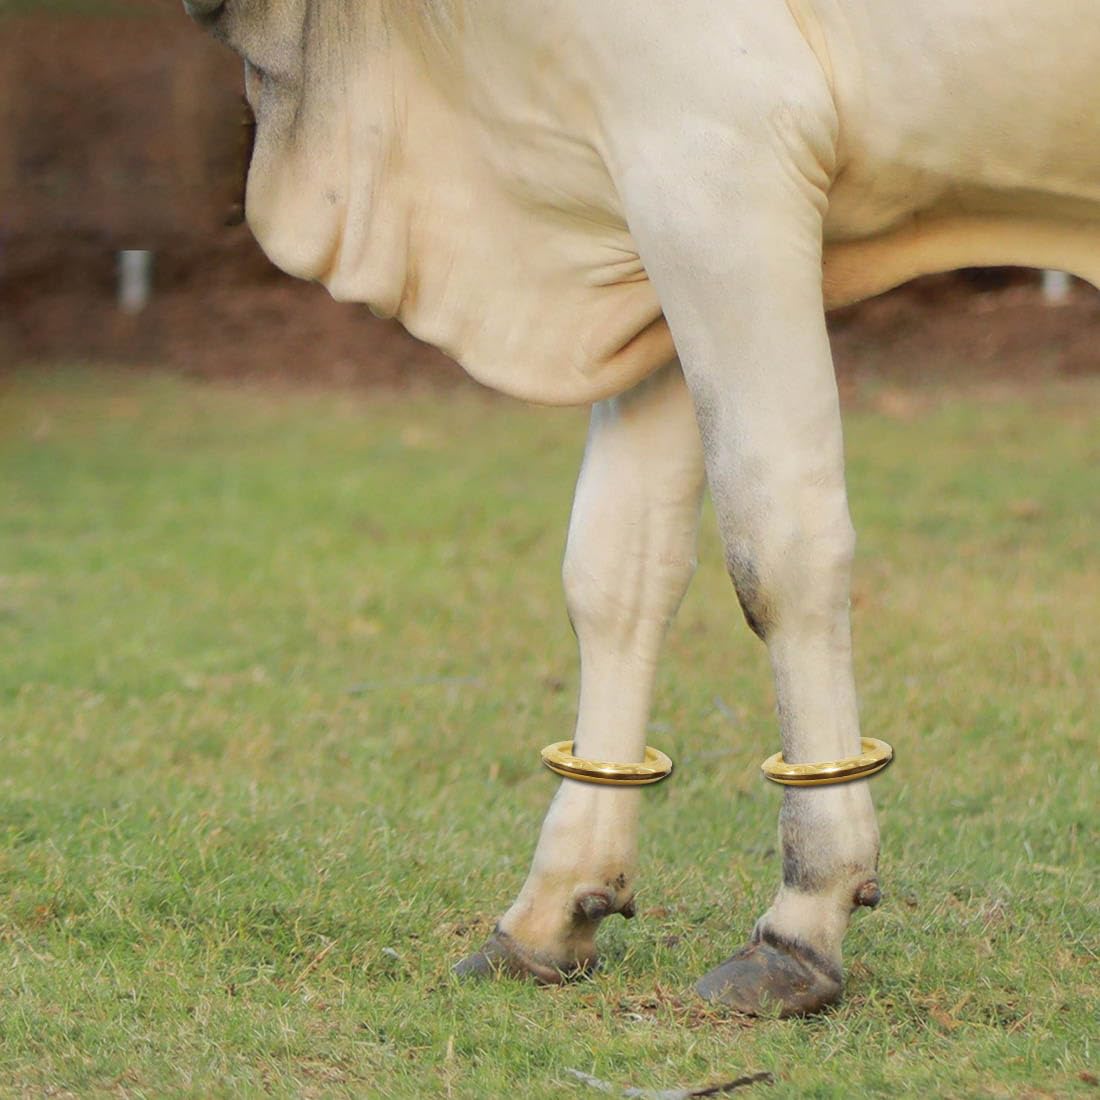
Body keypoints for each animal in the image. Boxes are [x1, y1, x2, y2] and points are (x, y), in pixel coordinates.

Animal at [183, 0, 1100, 1016]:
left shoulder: (718, 153)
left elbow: (778, 539)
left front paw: (805, 918)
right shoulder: (647, 232)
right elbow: (616, 571)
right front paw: (549, 911)